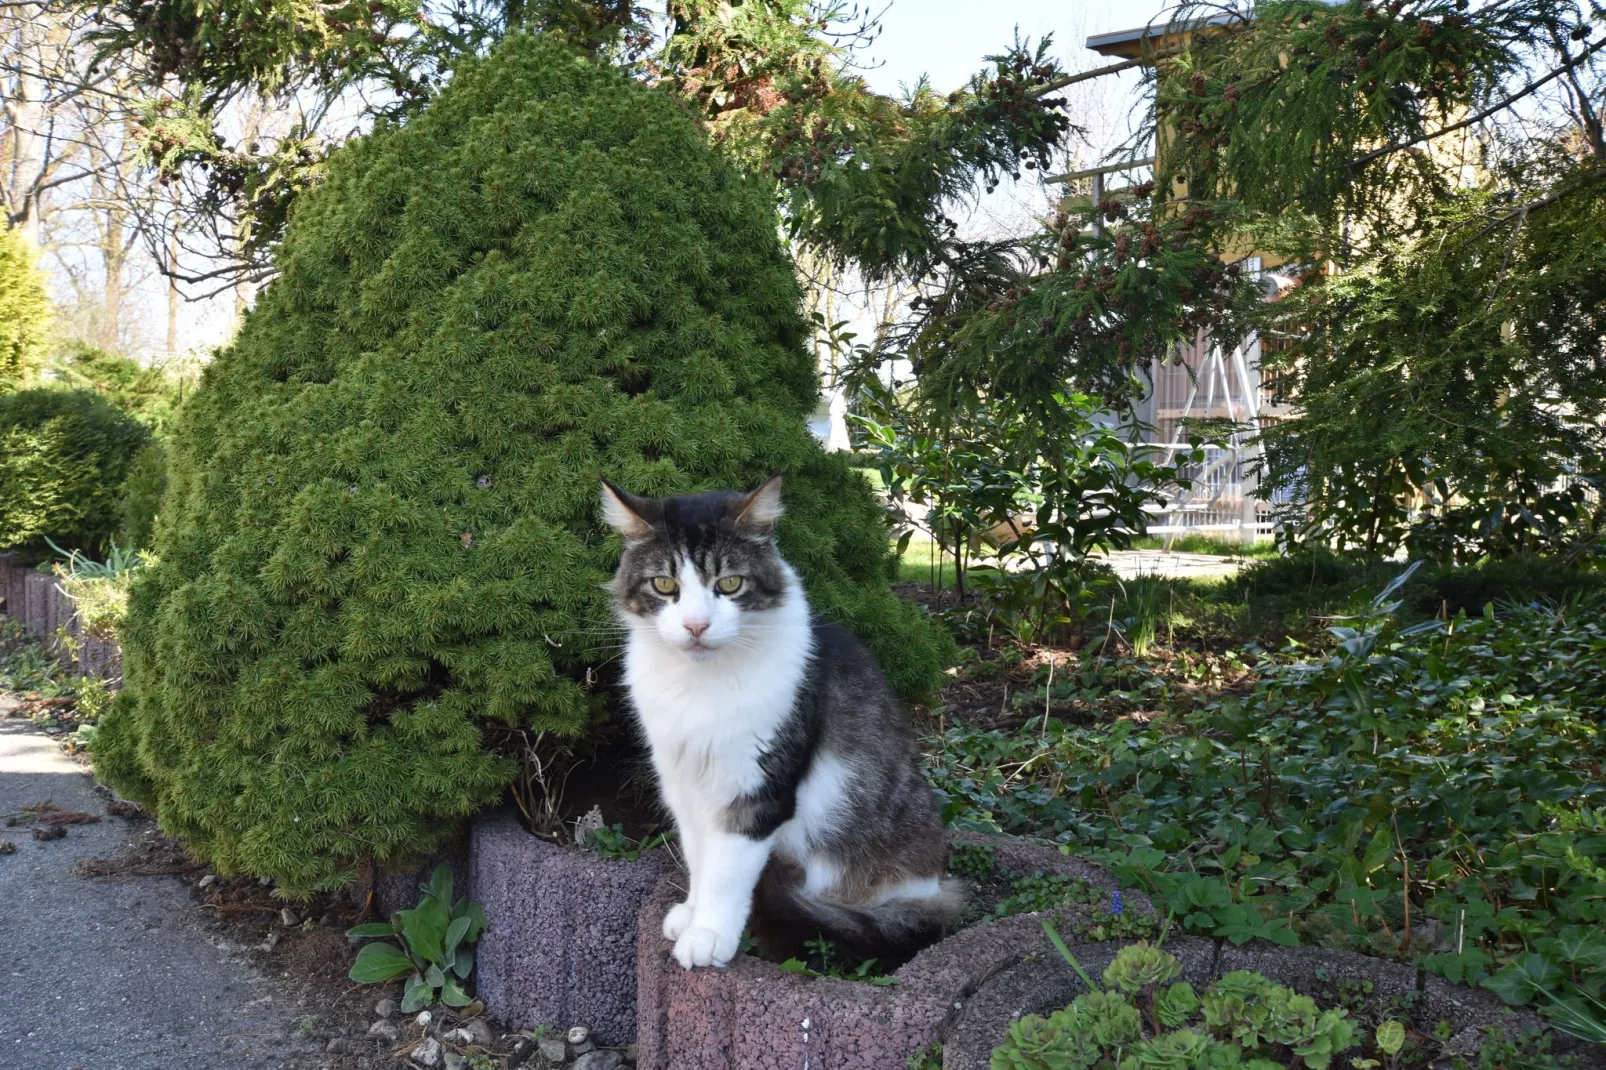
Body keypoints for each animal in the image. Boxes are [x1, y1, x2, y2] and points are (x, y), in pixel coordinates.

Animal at [600, 475, 950, 963]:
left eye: (729, 583)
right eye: (665, 584)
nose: (695, 626)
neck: (700, 684)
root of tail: (936, 888)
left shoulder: (755, 788)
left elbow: (724, 875)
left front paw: (708, 936)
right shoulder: (684, 784)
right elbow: (698, 859)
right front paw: (690, 915)